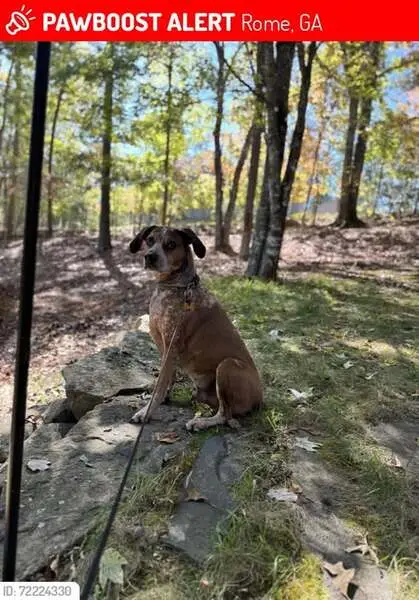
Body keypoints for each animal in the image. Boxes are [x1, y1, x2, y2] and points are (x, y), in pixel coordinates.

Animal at [129, 226, 263, 431]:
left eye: (171, 244)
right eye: (150, 240)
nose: (150, 257)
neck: (177, 286)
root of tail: (261, 400)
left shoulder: (171, 346)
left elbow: (159, 385)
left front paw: (146, 412)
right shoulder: (165, 349)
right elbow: (168, 379)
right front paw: (165, 398)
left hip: (227, 365)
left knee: (225, 415)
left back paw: (200, 422)